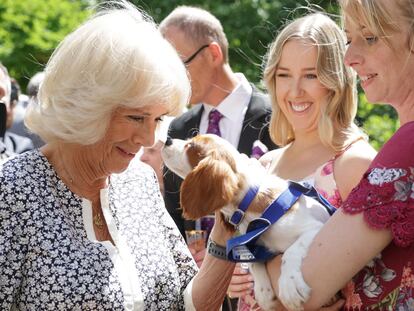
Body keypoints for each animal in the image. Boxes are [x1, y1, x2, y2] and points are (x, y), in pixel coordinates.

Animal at [162, 135, 334, 311]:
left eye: (190, 146)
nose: (167, 140)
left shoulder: (316, 227)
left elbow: (291, 251)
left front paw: (289, 285)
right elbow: (253, 262)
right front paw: (263, 292)